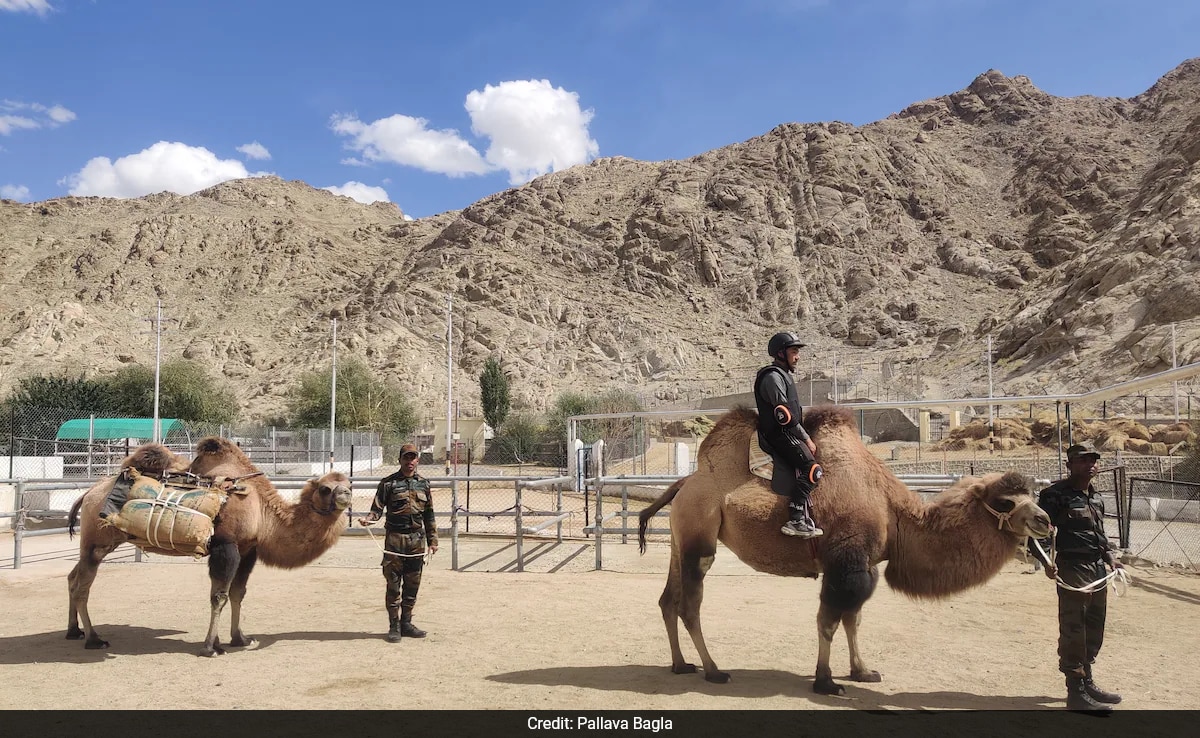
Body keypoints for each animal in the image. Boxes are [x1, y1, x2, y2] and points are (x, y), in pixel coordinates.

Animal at [638, 408, 1051, 696]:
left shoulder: (863, 564)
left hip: (680, 538)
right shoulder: (846, 562)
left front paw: (862, 672)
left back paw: (681, 665)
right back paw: (713, 670)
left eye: (1032, 494)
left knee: (667, 600)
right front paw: (825, 682)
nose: (1046, 521)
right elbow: (830, 621)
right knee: (690, 605)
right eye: (1005, 500)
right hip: (700, 538)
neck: (895, 515)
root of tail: (684, 483)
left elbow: (854, 620)